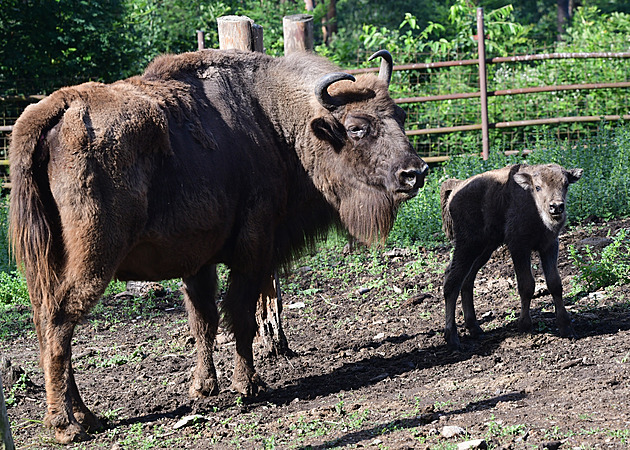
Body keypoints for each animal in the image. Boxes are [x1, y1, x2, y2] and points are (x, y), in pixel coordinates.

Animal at [7, 47, 430, 442]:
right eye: (357, 127)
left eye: (400, 117)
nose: (415, 172)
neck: (274, 121)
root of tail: (57, 109)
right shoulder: (253, 248)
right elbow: (240, 315)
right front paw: (249, 386)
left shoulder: (198, 262)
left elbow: (204, 320)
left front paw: (204, 387)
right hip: (94, 260)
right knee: (59, 325)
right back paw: (66, 425)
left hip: (45, 265)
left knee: (47, 327)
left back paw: (89, 417)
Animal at [442, 163, 584, 350]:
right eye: (538, 187)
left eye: (566, 184)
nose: (556, 207)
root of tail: (456, 188)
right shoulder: (519, 247)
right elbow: (526, 285)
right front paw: (525, 326)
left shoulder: (549, 246)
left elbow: (555, 284)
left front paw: (566, 327)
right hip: (468, 246)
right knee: (452, 283)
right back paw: (452, 338)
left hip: (484, 248)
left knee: (466, 280)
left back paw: (475, 329)